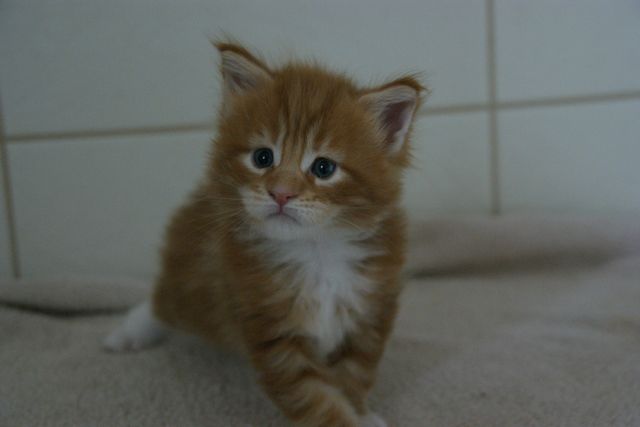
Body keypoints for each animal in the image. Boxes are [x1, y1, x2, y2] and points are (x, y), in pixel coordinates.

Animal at [104, 42, 425, 427]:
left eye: (324, 167)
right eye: (262, 157)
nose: (281, 193)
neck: (317, 254)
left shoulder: (368, 317)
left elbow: (353, 379)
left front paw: (361, 414)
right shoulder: (271, 331)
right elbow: (316, 402)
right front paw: (348, 419)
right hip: (194, 290)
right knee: (163, 301)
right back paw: (129, 331)